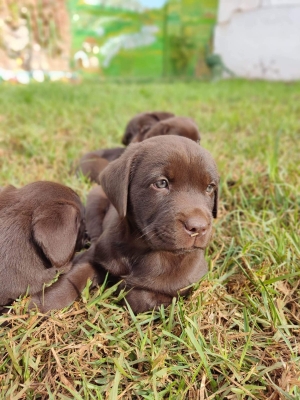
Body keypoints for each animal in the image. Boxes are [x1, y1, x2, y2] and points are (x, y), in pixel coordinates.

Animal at [31, 136, 218, 314]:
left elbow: (142, 297)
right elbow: (74, 276)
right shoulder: (96, 256)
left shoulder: (186, 285)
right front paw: (43, 302)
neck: (143, 249)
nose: (198, 227)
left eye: (210, 187)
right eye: (161, 183)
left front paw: (124, 287)